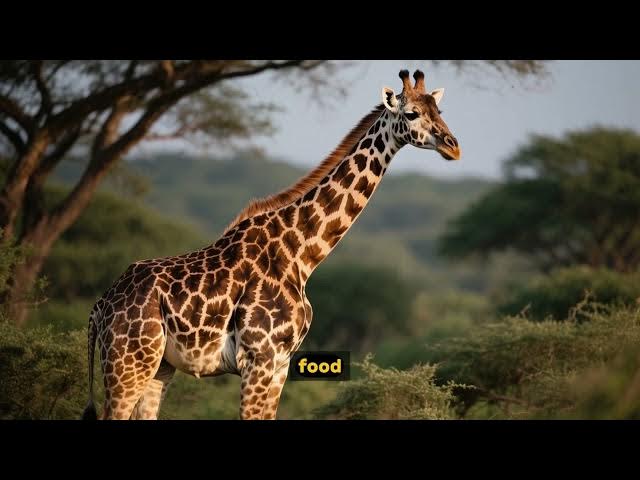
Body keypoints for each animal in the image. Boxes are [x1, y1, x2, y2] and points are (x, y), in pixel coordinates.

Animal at [82, 68, 461, 420]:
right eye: (410, 113)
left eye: (439, 110)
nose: (452, 146)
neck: (302, 254)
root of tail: (100, 306)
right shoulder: (258, 359)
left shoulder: (280, 364)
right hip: (127, 364)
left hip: (159, 366)